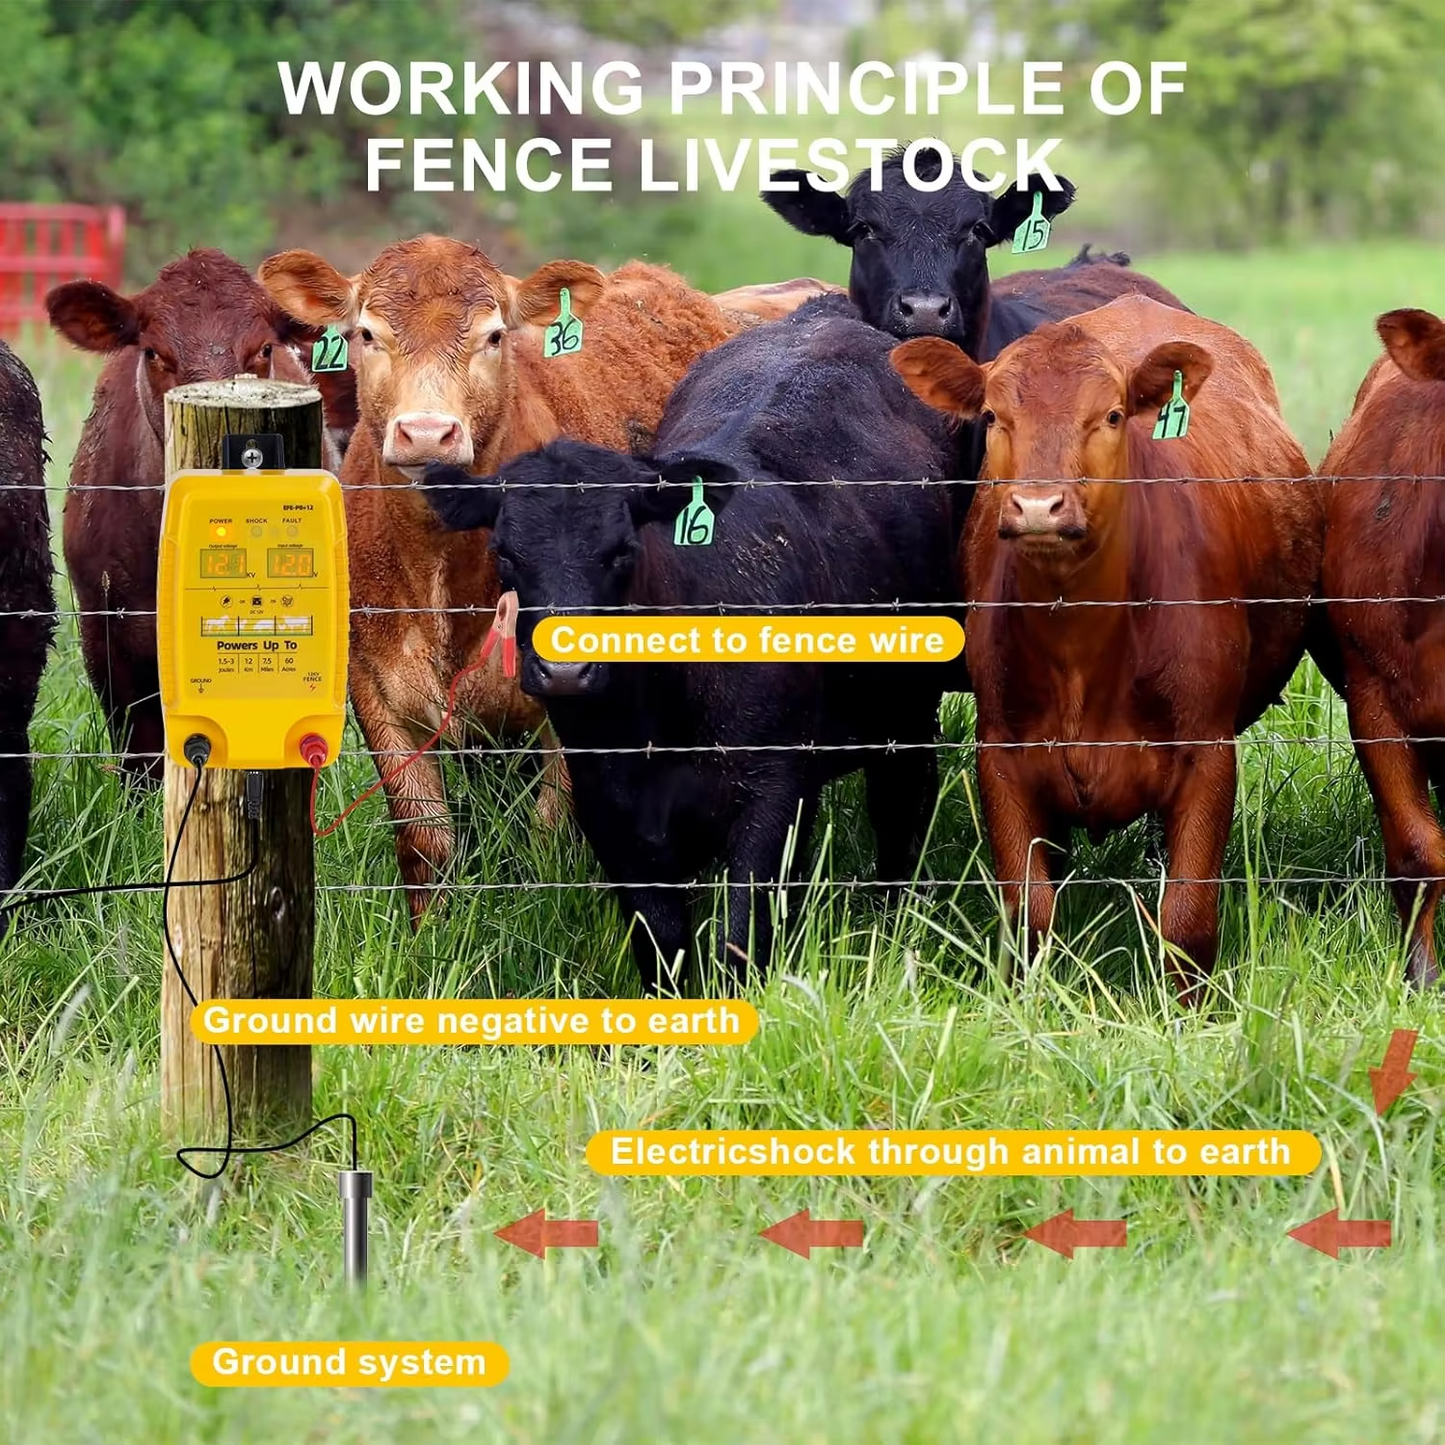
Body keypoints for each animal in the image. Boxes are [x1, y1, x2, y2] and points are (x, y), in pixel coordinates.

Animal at [258, 236, 754, 922]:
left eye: (494, 336)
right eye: (366, 333)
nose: (428, 433)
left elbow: (554, 833)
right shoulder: (376, 691)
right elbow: (426, 839)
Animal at [417, 295, 966, 987]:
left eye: (622, 551)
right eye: (505, 554)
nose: (566, 672)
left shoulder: (772, 792)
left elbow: (742, 931)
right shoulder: (608, 807)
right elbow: (663, 943)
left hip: (906, 717)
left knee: (901, 815)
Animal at [891, 294, 1321, 1004]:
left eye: (1113, 415)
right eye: (993, 416)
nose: (1039, 506)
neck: (1081, 646)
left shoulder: (1207, 751)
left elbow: (1187, 919)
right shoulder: (1002, 754)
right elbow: (1029, 914)